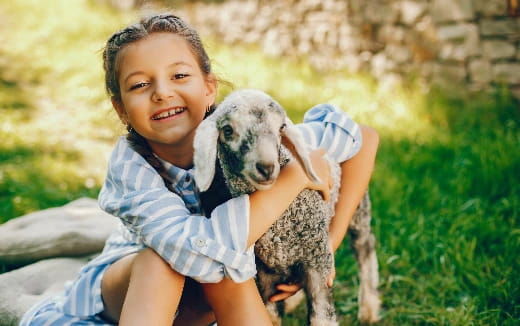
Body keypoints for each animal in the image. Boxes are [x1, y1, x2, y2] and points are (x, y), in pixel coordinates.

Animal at [193, 89, 380, 326]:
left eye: (281, 127)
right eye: (227, 130)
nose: (266, 168)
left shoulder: (317, 260)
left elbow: (322, 317)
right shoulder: (265, 273)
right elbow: (272, 316)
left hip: (359, 209)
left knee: (365, 248)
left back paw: (368, 309)